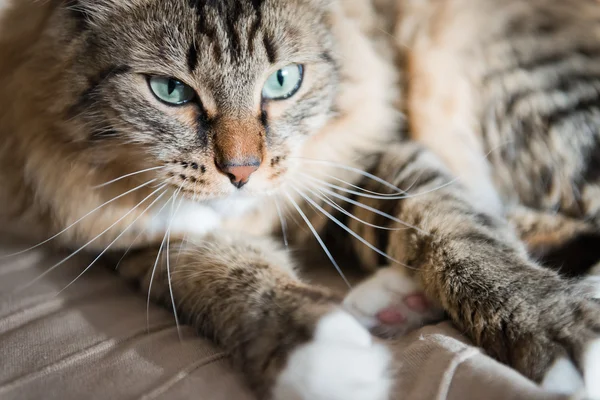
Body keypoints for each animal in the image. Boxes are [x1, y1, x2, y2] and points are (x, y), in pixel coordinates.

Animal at [1, 0, 600, 398]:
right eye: (170, 91)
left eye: (284, 80)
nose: (241, 172)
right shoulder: (130, 237)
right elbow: (219, 273)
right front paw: (318, 350)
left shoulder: (369, 159)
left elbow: (461, 231)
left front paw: (551, 324)